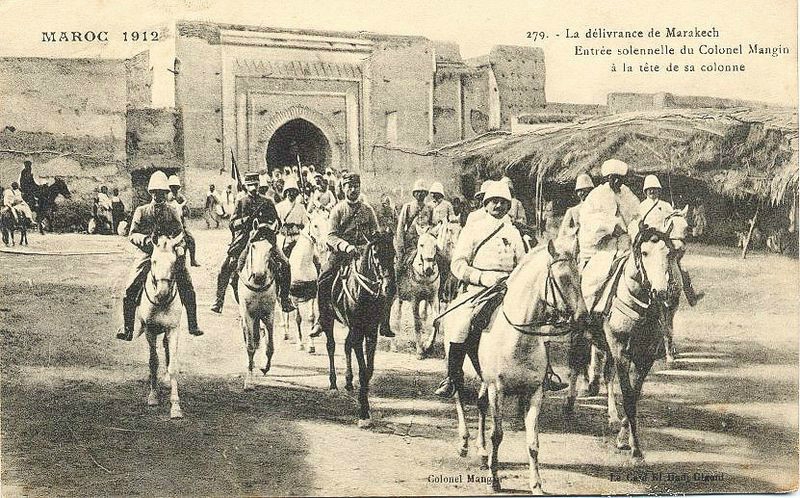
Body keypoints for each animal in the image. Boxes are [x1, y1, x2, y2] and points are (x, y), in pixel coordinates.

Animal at [139, 231, 188, 418]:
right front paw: (153, 396)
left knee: (167, 349)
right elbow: (153, 362)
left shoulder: (173, 329)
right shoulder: (150, 330)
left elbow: (173, 365)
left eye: (174, 261)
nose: (162, 293)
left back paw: (166, 380)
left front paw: (175, 406)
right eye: (153, 260)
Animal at [324, 230, 396, 428]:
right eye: (376, 254)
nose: (390, 287)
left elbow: (368, 370)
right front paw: (364, 412)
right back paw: (333, 385)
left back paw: (349, 382)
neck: (364, 292)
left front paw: (364, 403)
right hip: (328, 320)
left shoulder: (370, 332)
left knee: (345, 345)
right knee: (331, 346)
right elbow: (363, 370)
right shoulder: (358, 331)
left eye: (394, 254)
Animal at [444, 238, 588, 494]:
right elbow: (497, 435)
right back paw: (463, 442)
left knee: (480, 404)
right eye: (561, 278)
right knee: (459, 395)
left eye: (579, 277)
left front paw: (537, 484)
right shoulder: (497, 390)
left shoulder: (535, 393)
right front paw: (494, 480)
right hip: (460, 366)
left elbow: (533, 442)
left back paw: (482, 453)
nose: (583, 318)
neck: (518, 339)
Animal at [564, 224, 680, 462]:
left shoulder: (644, 358)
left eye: (669, 253)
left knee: (607, 374)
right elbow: (627, 396)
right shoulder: (621, 353)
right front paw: (635, 449)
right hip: (581, 334)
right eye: (644, 253)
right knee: (575, 364)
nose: (662, 292)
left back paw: (612, 415)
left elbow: (633, 396)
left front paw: (624, 438)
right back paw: (570, 402)